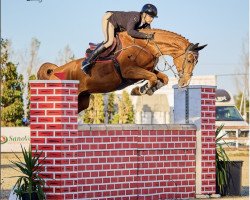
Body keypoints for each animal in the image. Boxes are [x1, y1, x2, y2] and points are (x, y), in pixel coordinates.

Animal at [37, 28, 206, 113]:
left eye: (196, 62)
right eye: (189, 60)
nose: (184, 83)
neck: (147, 45)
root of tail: (55, 71)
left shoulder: (147, 69)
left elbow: (162, 78)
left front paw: (146, 89)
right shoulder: (129, 71)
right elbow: (152, 77)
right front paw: (140, 90)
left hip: (82, 101)